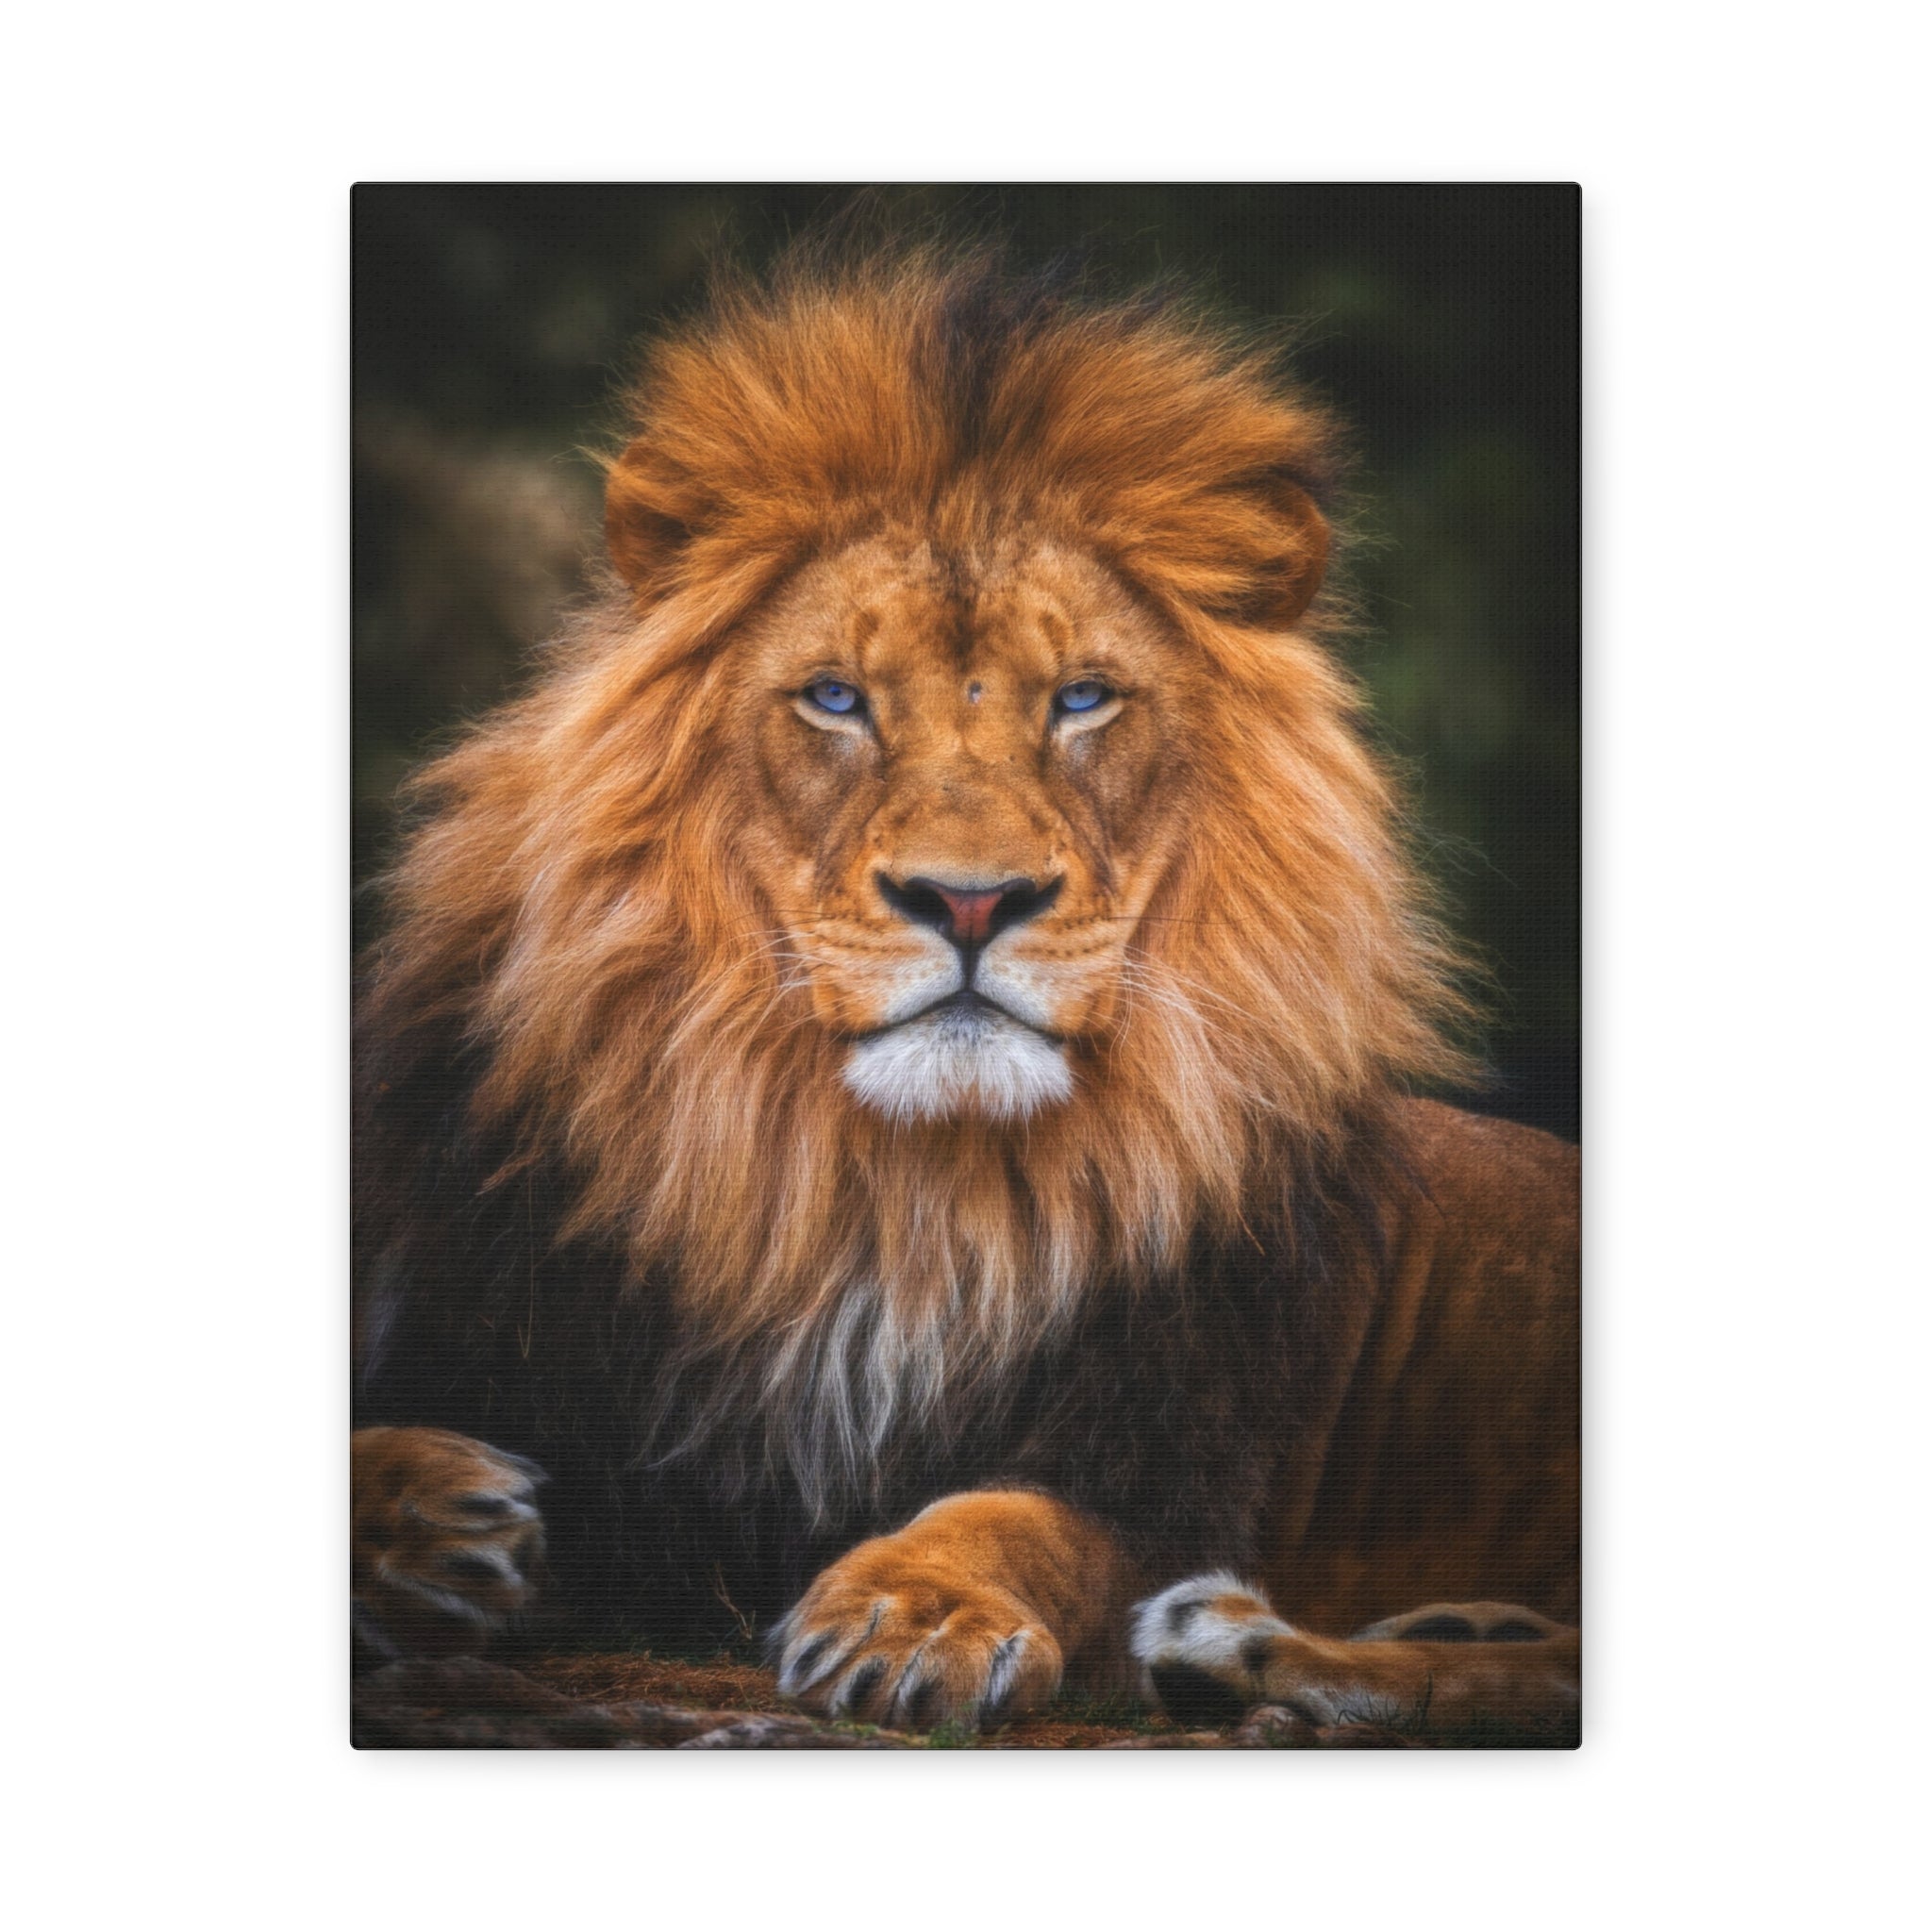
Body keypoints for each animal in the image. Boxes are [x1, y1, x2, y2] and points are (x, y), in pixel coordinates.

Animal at [352, 242, 1580, 1744]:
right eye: (834, 697)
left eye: (1084, 699)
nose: (972, 901)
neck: (887, 1192)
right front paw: (433, 1517)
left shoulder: (1165, 1457)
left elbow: (1014, 1518)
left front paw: (912, 1611)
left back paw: (1241, 1645)